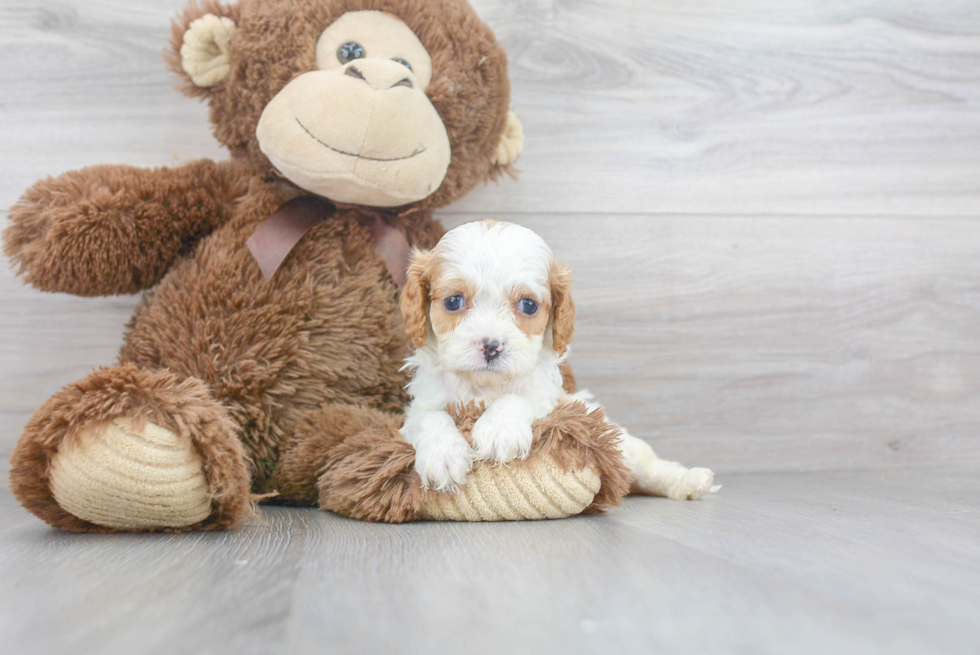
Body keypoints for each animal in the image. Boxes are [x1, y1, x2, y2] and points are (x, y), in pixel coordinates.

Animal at [396, 218, 712, 500]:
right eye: (454, 301)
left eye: (528, 305)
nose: (491, 346)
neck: (485, 388)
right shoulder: (422, 405)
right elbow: (430, 418)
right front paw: (444, 455)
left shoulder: (552, 400)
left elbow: (518, 398)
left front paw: (499, 430)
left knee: (646, 468)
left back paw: (689, 481)